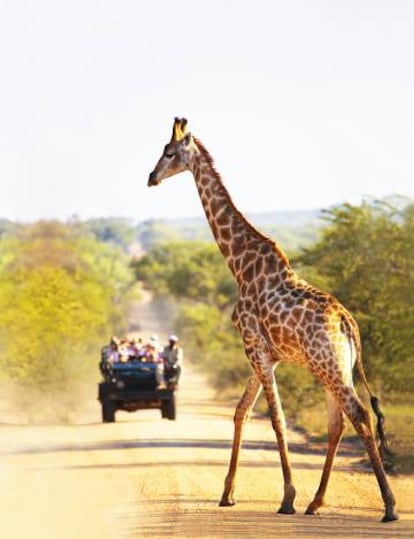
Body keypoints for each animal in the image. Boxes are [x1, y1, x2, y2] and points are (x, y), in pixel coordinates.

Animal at [147, 117, 396, 524]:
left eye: (168, 152)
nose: (151, 177)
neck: (240, 265)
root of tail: (348, 323)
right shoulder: (266, 354)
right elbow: (241, 412)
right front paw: (227, 494)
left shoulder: (255, 348)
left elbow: (275, 418)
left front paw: (287, 496)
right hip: (332, 367)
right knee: (337, 423)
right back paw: (316, 503)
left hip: (328, 366)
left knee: (358, 415)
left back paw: (388, 506)